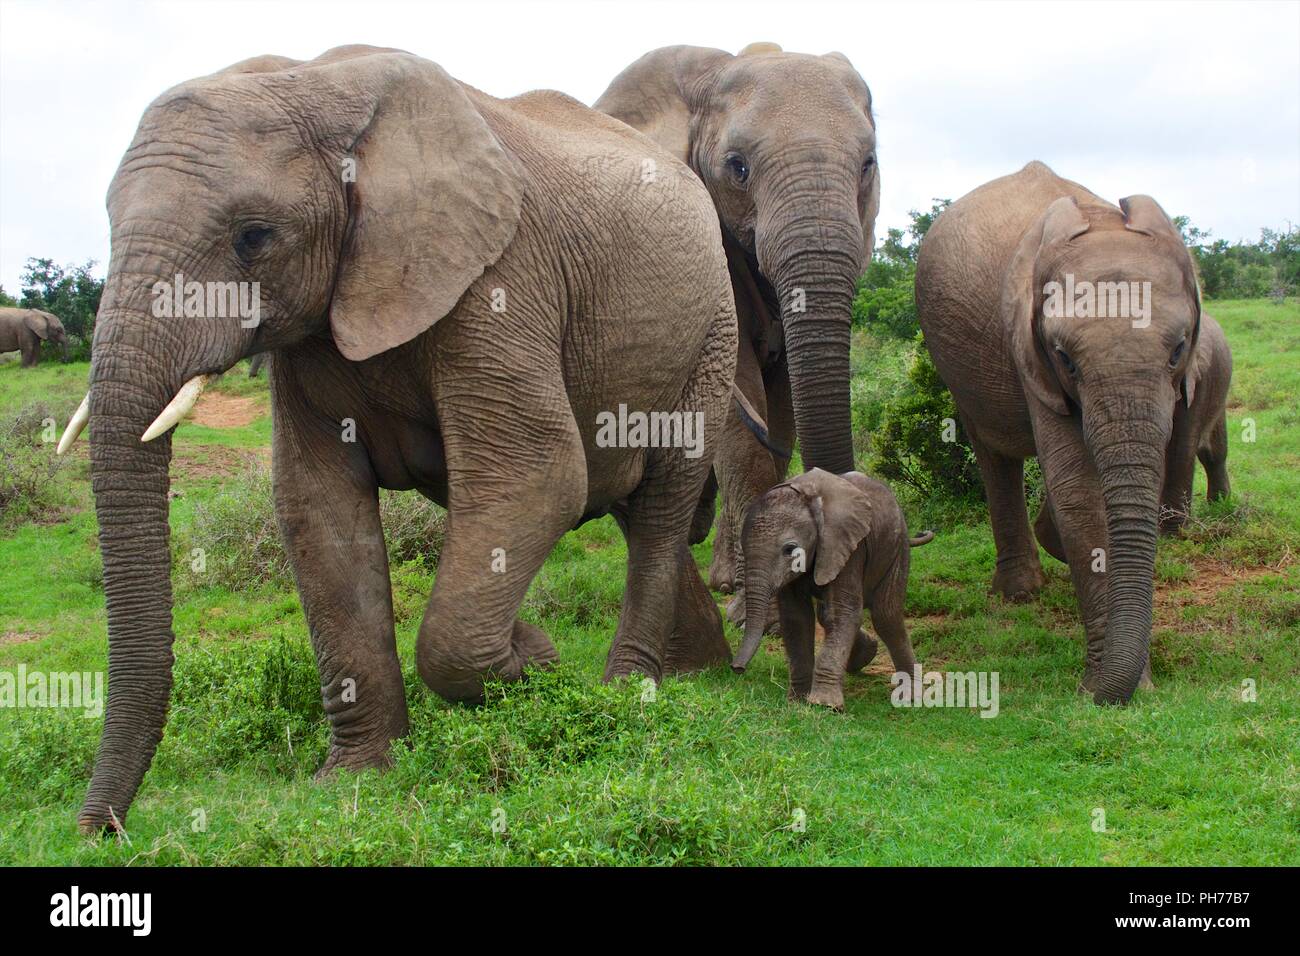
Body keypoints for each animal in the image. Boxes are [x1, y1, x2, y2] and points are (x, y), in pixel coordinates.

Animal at [61, 44, 738, 832]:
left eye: (254, 236)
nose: (99, 833)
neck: (315, 83)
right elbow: (317, 510)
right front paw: (357, 778)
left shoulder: (501, 281)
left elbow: (538, 475)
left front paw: (537, 662)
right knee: (631, 507)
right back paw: (698, 670)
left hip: (712, 334)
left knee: (660, 506)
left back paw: (630, 691)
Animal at [920, 160, 1211, 707]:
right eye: (1066, 359)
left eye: (1179, 348)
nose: (1100, 697)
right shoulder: (1028, 347)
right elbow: (1078, 490)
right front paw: (1111, 686)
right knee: (993, 453)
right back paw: (1020, 591)